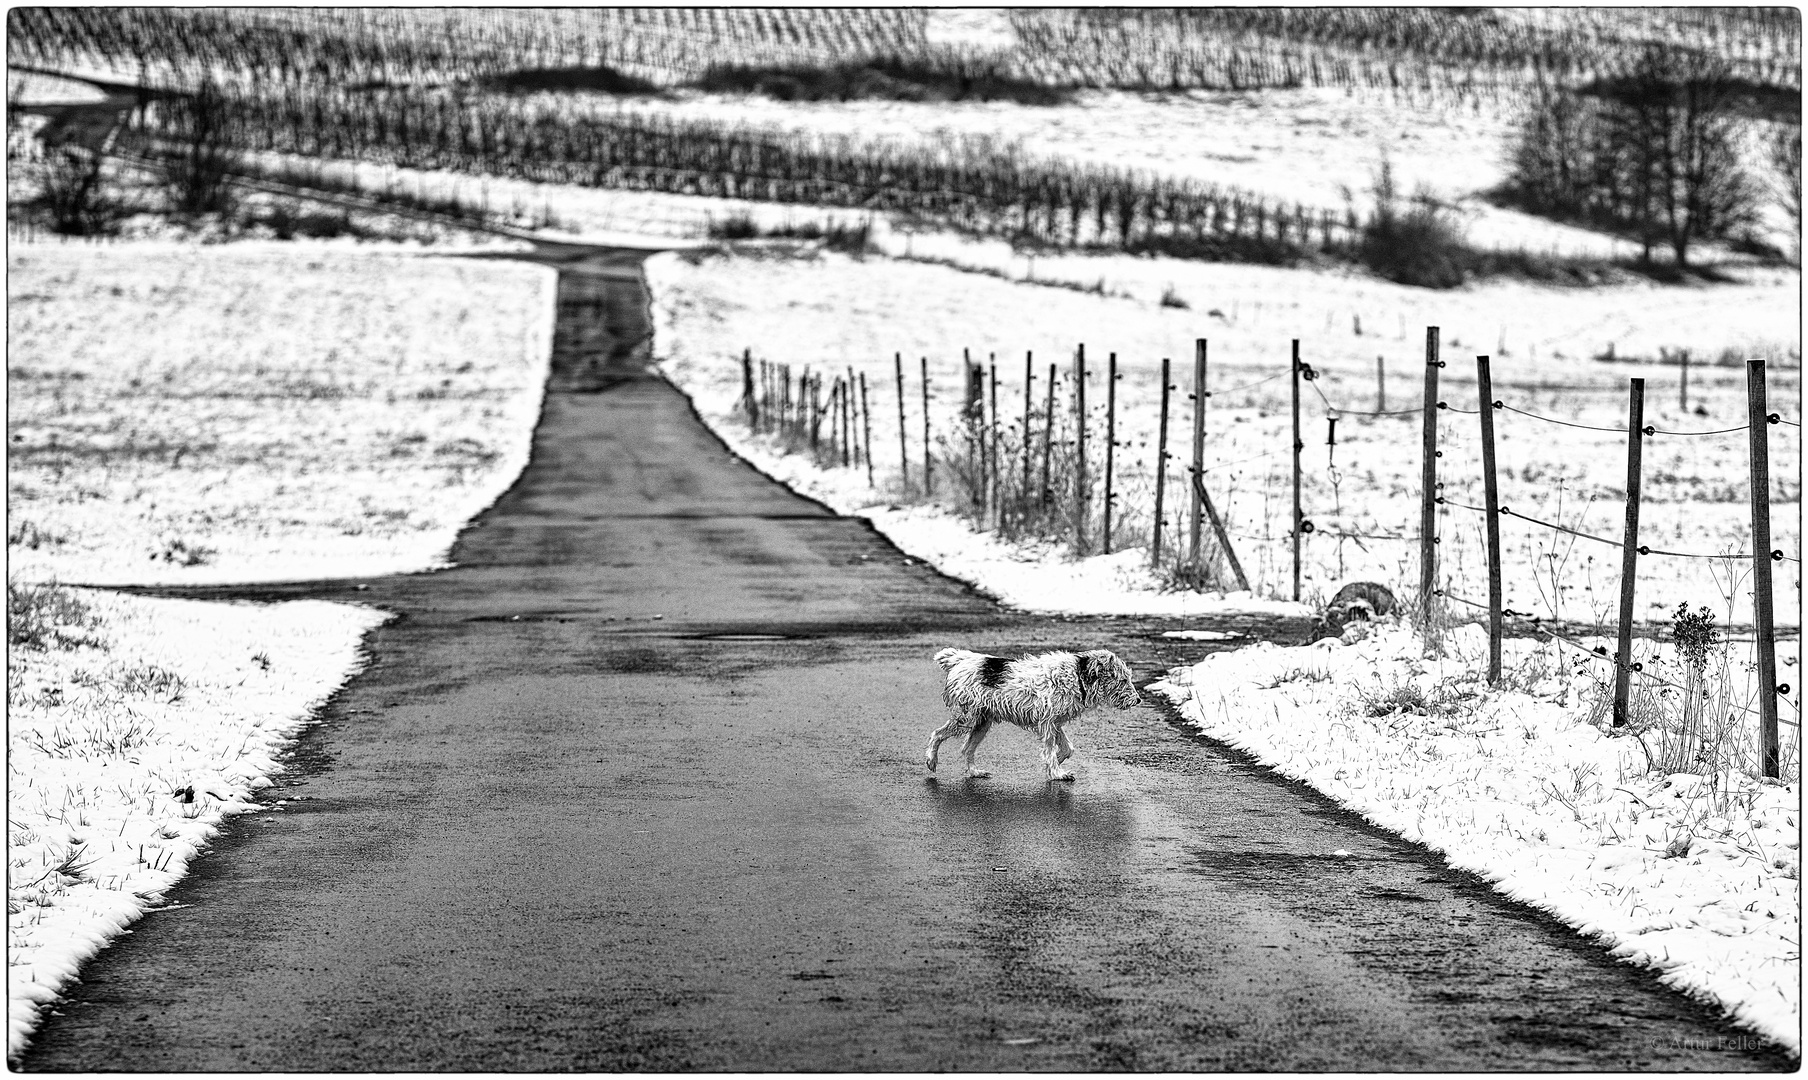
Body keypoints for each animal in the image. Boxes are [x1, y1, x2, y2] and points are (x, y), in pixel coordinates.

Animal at [925, 644, 1135, 777]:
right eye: (1123, 680)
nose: (1139, 699)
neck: (1077, 676)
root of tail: (960, 660)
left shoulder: (1055, 723)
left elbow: (1067, 748)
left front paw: (1055, 764)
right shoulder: (1048, 723)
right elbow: (1050, 750)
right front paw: (1057, 773)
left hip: (981, 723)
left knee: (967, 749)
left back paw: (975, 772)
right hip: (966, 718)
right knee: (937, 734)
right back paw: (931, 760)